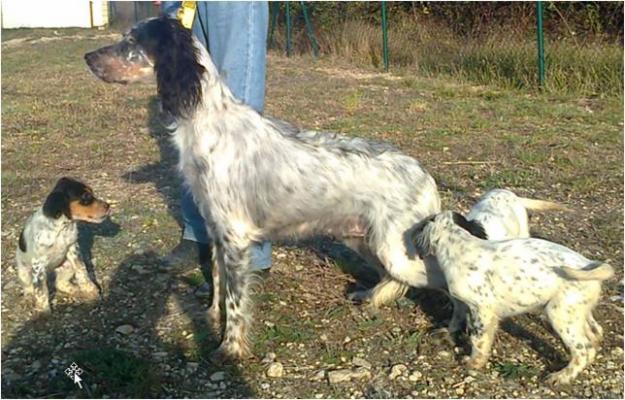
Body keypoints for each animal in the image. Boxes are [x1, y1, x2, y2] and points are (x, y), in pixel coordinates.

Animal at [15, 177, 111, 312]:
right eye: (86, 196)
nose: (108, 206)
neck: (61, 228)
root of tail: (51, 271)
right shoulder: (38, 265)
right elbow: (40, 291)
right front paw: (43, 312)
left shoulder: (73, 249)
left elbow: (82, 271)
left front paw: (90, 291)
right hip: (24, 273)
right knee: (29, 288)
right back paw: (29, 298)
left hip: (67, 266)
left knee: (60, 283)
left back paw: (76, 290)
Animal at [85, 17, 442, 360]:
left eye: (132, 41)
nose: (87, 57)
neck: (208, 121)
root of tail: (425, 176)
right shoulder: (217, 232)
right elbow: (218, 283)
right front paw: (211, 316)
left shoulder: (235, 237)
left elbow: (235, 301)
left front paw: (230, 349)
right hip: (363, 240)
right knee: (395, 278)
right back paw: (369, 295)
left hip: (394, 250)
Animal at [414, 211, 616, 386]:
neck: (459, 243)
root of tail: (588, 263)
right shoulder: (464, 304)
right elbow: (456, 318)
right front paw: (447, 332)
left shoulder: (482, 309)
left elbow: (478, 339)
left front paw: (473, 363)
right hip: (577, 310)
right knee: (595, 334)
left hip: (560, 313)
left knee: (584, 349)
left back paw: (562, 376)